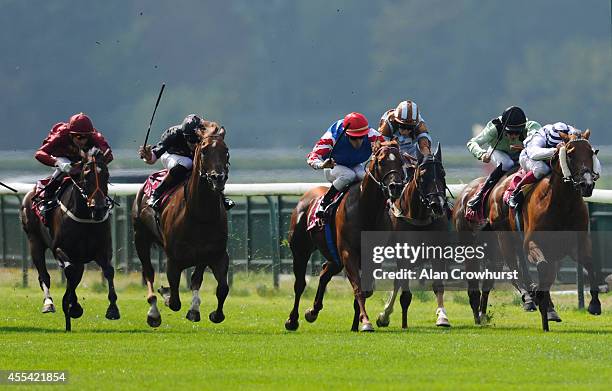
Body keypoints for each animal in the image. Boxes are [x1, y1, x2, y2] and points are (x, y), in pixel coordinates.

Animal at [20, 149, 118, 332]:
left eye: (107, 175)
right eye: (86, 176)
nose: (99, 209)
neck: (85, 217)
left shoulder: (103, 250)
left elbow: (108, 271)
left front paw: (113, 309)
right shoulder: (60, 249)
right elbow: (69, 271)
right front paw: (73, 306)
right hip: (34, 241)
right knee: (44, 276)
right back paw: (49, 303)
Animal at [133, 122, 231, 328]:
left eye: (226, 151)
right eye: (204, 151)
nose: (218, 178)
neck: (200, 215)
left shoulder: (216, 255)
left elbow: (220, 288)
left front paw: (206, 312)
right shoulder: (174, 259)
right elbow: (175, 300)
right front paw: (165, 295)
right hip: (140, 238)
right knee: (149, 272)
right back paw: (153, 312)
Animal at [286, 139, 406, 332]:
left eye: (401, 162)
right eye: (381, 162)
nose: (396, 187)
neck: (366, 210)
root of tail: (305, 198)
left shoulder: (371, 256)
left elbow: (366, 290)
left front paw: (357, 323)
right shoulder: (348, 252)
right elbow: (358, 287)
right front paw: (365, 322)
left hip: (334, 256)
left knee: (325, 273)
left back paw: (313, 311)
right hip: (300, 250)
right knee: (300, 284)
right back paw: (292, 320)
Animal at [372, 145, 454, 330]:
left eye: (443, 173)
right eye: (422, 176)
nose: (437, 205)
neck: (419, 217)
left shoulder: (438, 253)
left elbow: (438, 285)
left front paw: (442, 317)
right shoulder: (403, 254)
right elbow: (404, 291)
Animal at [488, 131, 604, 330]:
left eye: (591, 152)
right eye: (570, 154)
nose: (587, 184)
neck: (562, 203)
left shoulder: (576, 242)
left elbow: (589, 263)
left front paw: (594, 304)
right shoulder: (532, 243)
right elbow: (541, 267)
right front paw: (537, 295)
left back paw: (548, 309)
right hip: (504, 236)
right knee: (514, 267)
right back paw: (529, 298)